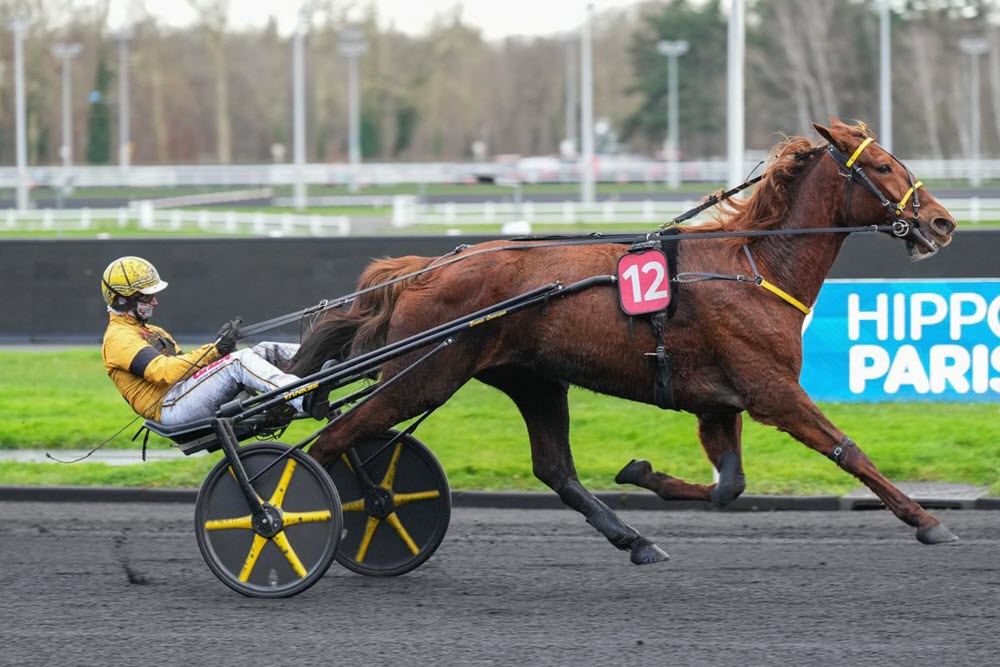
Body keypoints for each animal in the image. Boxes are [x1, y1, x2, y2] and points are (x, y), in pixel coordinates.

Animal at [290, 121, 960, 564]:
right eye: (883, 167)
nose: (942, 221)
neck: (753, 265)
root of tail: (421, 269)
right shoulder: (772, 390)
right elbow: (849, 451)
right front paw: (927, 521)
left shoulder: (720, 402)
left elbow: (730, 486)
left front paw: (643, 473)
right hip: (422, 376)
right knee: (330, 442)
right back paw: (308, 514)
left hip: (532, 380)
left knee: (554, 469)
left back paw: (635, 540)